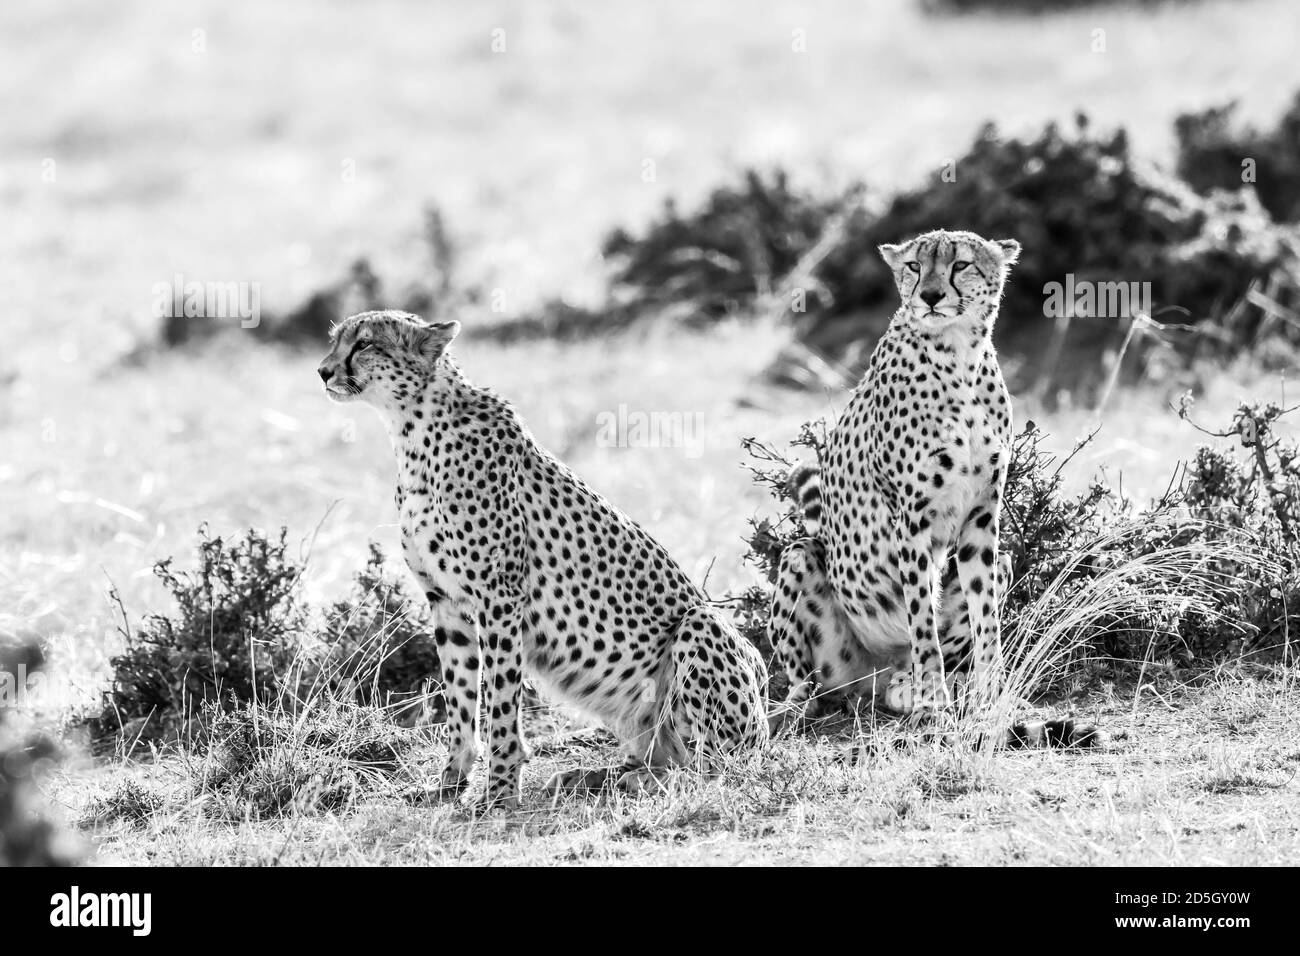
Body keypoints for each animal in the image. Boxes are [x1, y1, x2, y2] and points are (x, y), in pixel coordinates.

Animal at [318, 312, 769, 806]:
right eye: (336, 340)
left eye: (364, 344)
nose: (322, 371)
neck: (413, 429)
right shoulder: (447, 602)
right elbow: (460, 698)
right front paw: (451, 783)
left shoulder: (499, 598)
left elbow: (499, 701)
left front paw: (498, 792)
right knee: (660, 757)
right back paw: (594, 778)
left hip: (703, 632)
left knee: (716, 769)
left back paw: (655, 782)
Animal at [769, 230, 1097, 749]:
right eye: (914, 267)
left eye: (960, 264)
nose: (929, 296)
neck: (959, 355)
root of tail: (879, 675)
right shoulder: (913, 519)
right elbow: (923, 621)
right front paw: (932, 703)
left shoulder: (983, 517)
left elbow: (986, 622)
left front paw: (990, 697)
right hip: (804, 565)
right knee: (811, 684)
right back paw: (801, 706)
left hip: (1003, 558)